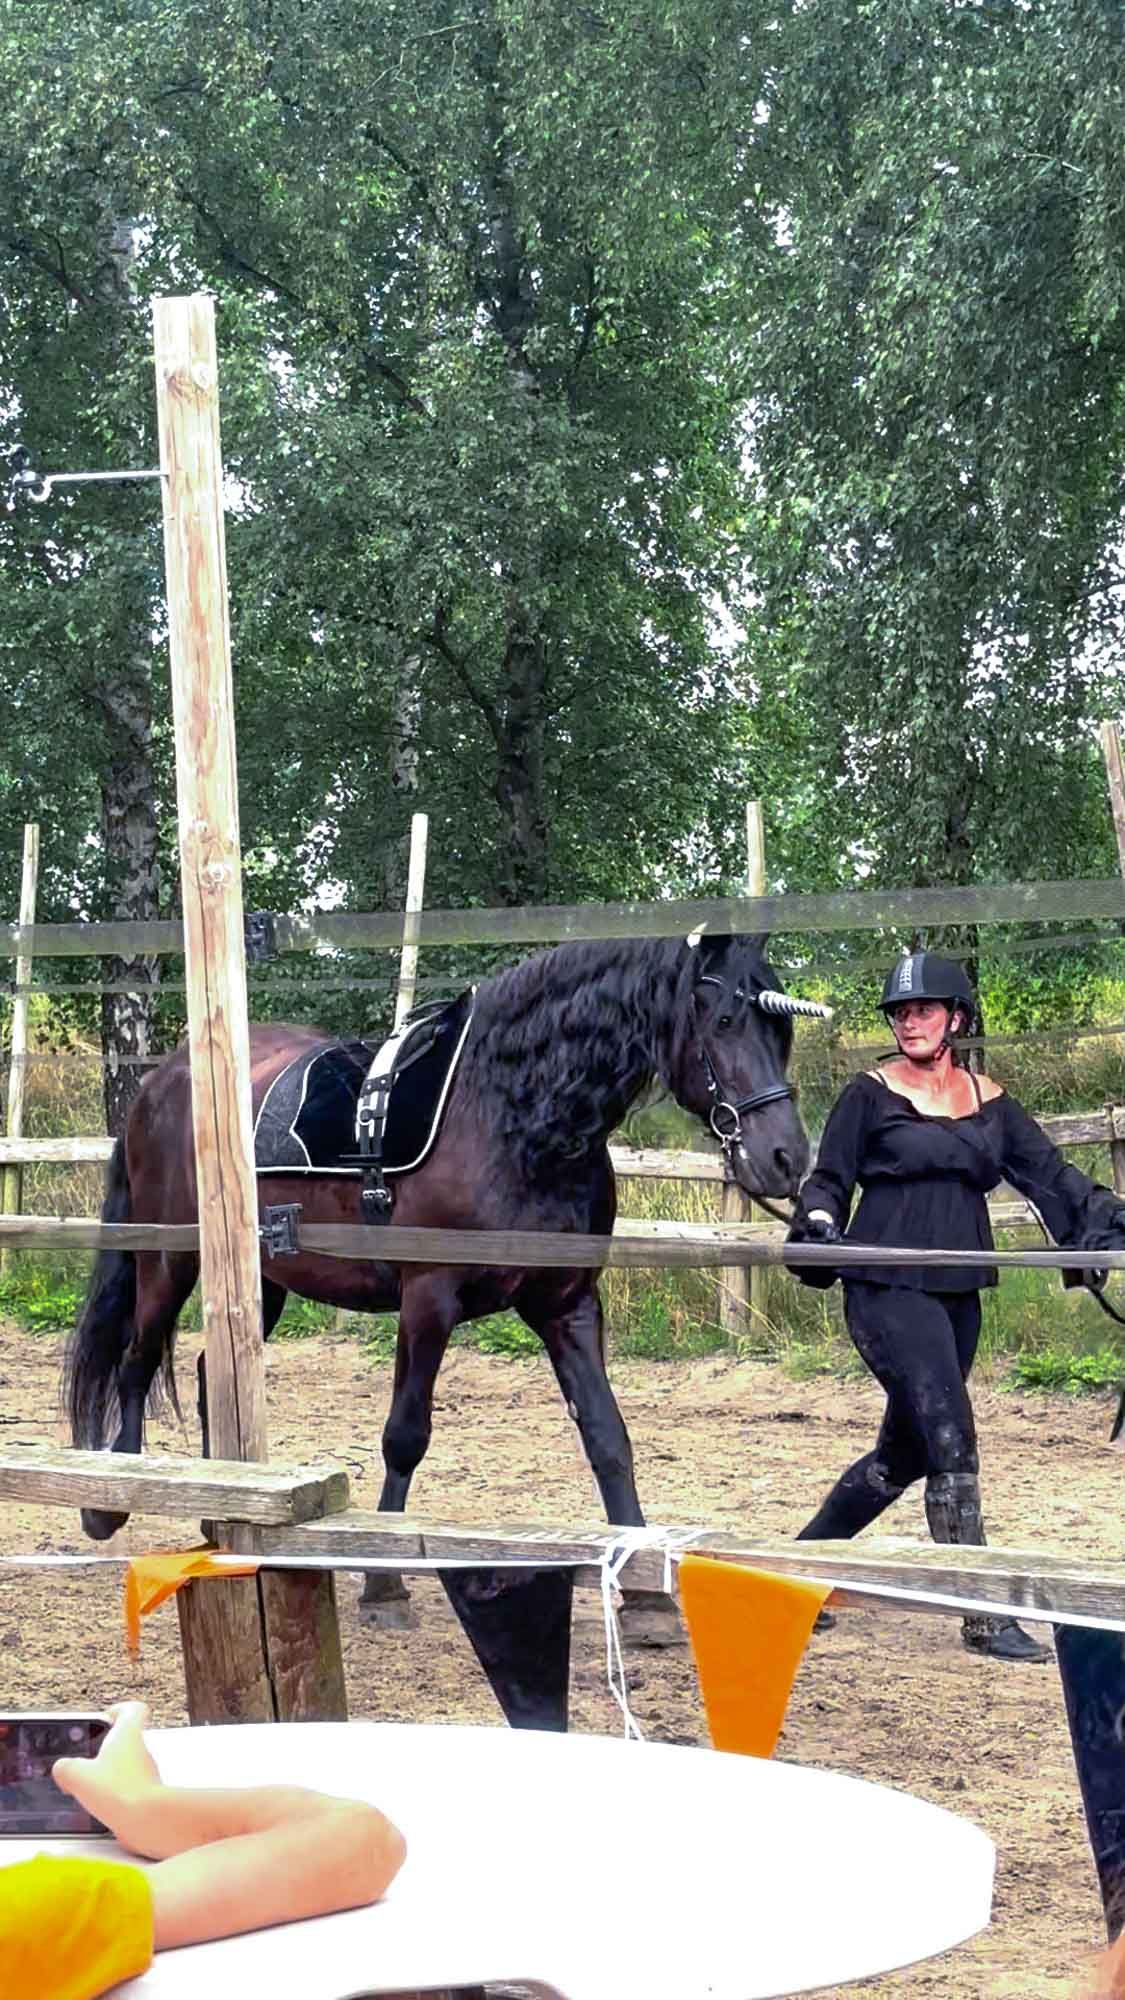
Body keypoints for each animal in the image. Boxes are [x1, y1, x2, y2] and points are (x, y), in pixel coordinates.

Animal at [65, 929, 823, 1630]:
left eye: (780, 1030)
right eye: (723, 1021)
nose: (786, 1158)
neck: (509, 1119)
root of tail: (159, 1082)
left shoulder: (569, 1305)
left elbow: (608, 1437)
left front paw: (644, 1596)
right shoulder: (427, 1299)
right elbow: (406, 1434)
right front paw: (383, 1585)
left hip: (262, 1280)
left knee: (203, 1375)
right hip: (169, 1260)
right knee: (136, 1361)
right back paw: (111, 1501)